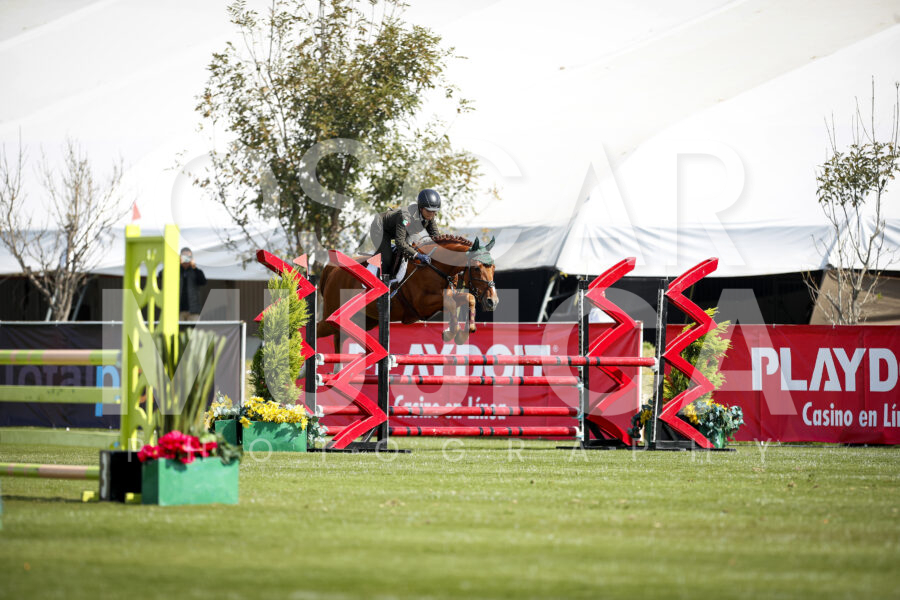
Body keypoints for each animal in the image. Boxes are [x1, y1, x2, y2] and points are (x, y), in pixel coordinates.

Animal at [317, 235, 499, 349]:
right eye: (476, 268)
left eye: (493, 268)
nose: (493, 301)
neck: (435, 267)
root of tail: (332, 269)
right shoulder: (422, 305)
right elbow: (452, 303)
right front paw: (450, 333)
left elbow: (468, 298)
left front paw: (463, 333)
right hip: (333, 316)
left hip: (364, 320)